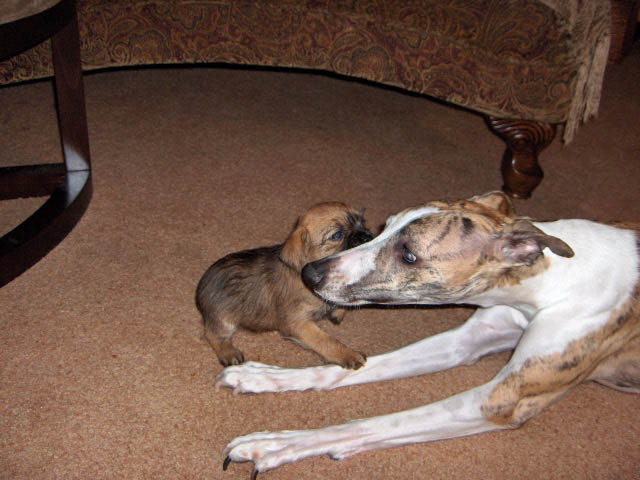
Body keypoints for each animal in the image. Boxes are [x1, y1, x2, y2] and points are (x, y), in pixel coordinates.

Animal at [195, 201, 372, 369]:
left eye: (362, 222)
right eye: (337, 235)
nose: (367, 236)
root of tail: (200, 287)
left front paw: (337, 312)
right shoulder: (298, 324)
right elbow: (325, 341)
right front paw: (349, 355)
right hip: (223, 319)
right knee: (212, 334)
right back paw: (228, 353)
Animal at [216, 191, 640, 478]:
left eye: (409, 256)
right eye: (384, 227)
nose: (310, 274)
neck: (551, 278)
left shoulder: (501, 399)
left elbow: (376, 423)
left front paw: (277, 443)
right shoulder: (465, 342)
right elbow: (349, 366)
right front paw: (264, 376)